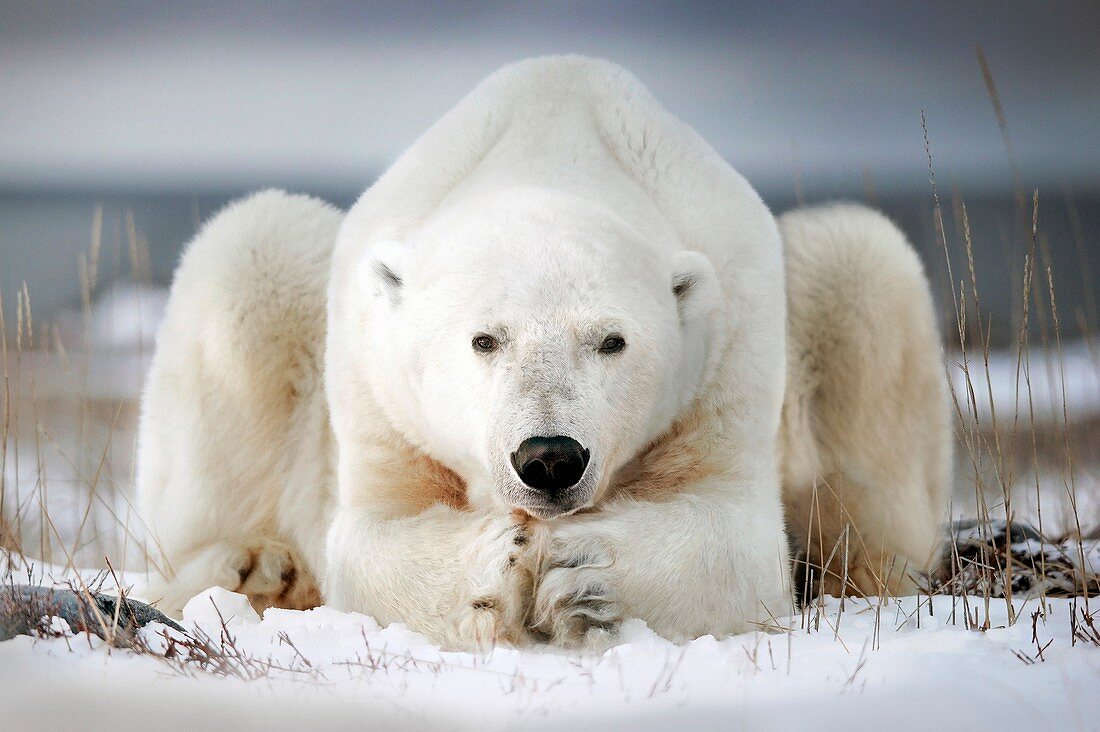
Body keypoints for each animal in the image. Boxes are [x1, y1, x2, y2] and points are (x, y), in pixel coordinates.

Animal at [135, 58, 946, 651]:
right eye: (484, 339)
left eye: (612, 340)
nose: (550, 458)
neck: (554, 144)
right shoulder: (378, 385)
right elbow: (371, 534)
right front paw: (497, 564)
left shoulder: (728, 347)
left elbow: (735, 534)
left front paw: (581, 573)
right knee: (250, 254)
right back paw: (254, 567)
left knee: (860, 268)